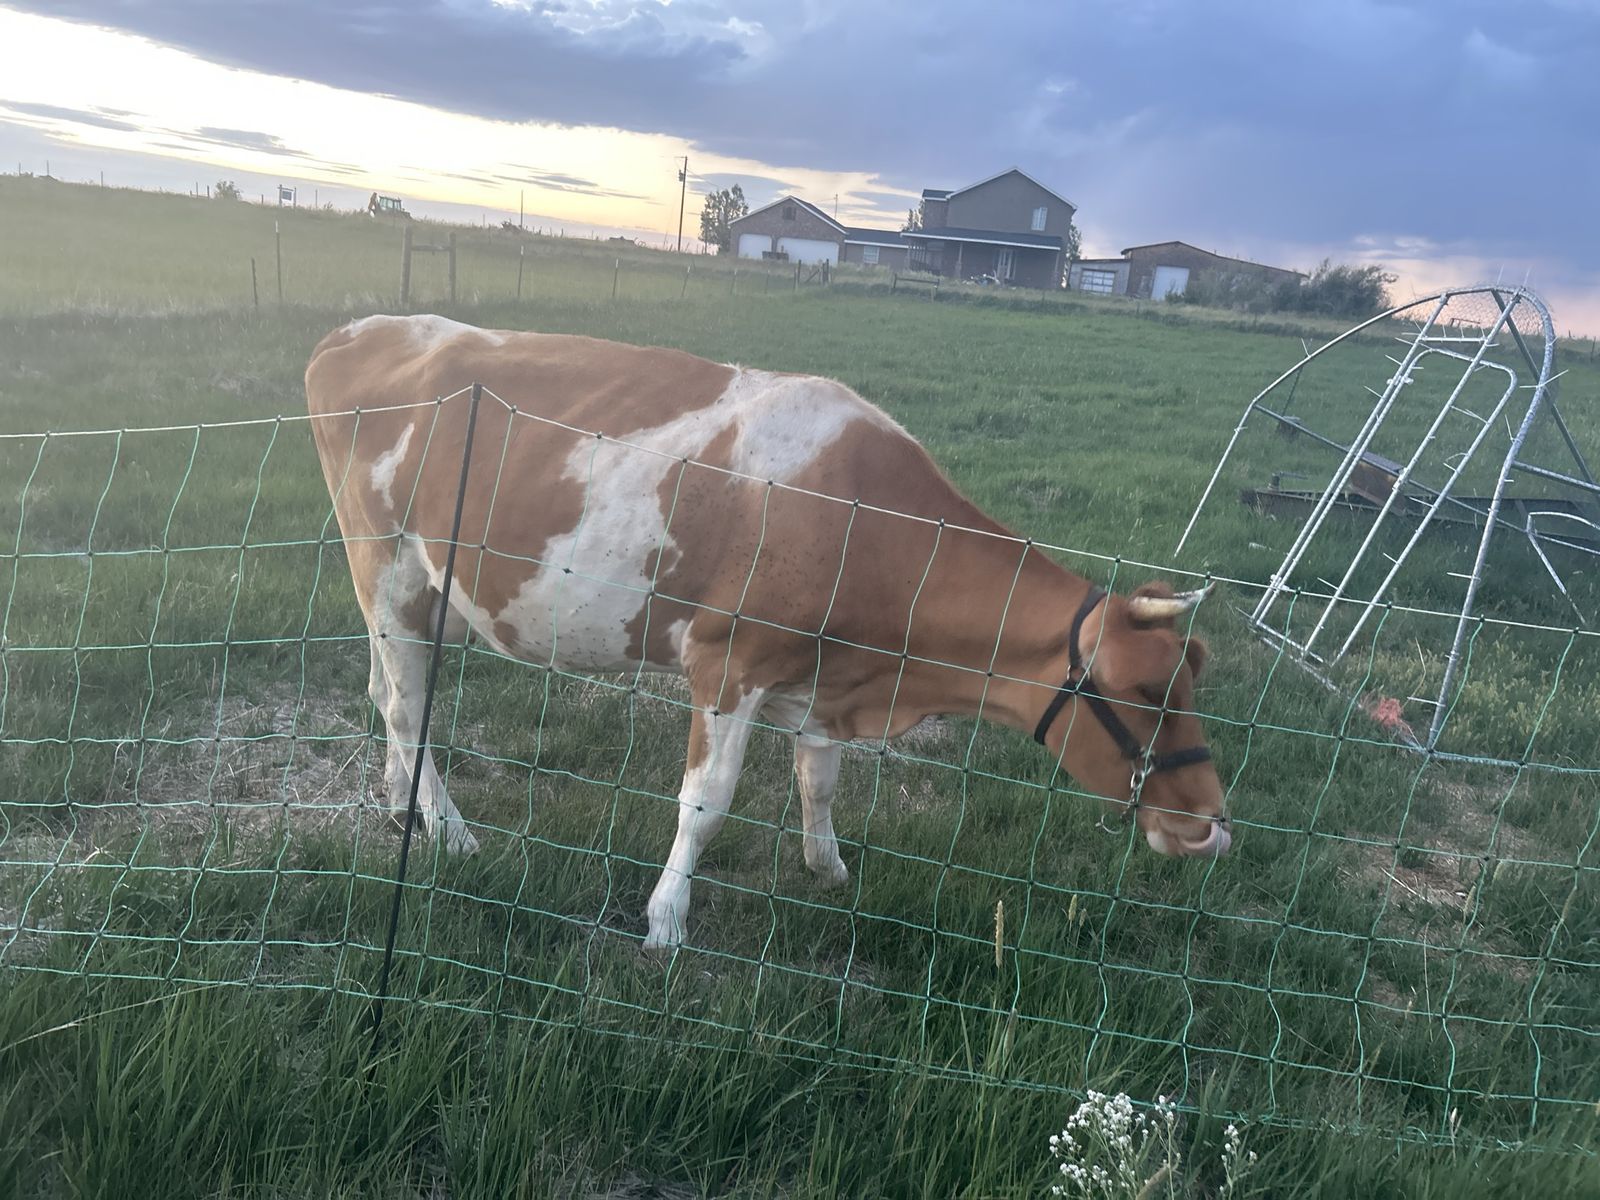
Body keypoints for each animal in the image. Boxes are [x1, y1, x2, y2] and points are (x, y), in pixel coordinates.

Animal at [305, 315, 1230, 949]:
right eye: (1146, 690)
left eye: (1194, 679)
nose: (1214, 825)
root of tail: (365, 327)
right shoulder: (728, 663)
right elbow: (706, 804)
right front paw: (666, 921)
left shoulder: (824, 678)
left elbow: (819, 781)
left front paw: (829, 868)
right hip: (384, 564)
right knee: (406, 703)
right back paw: (452, 832)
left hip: (433, 592)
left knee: (388, 691)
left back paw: (404, 806)